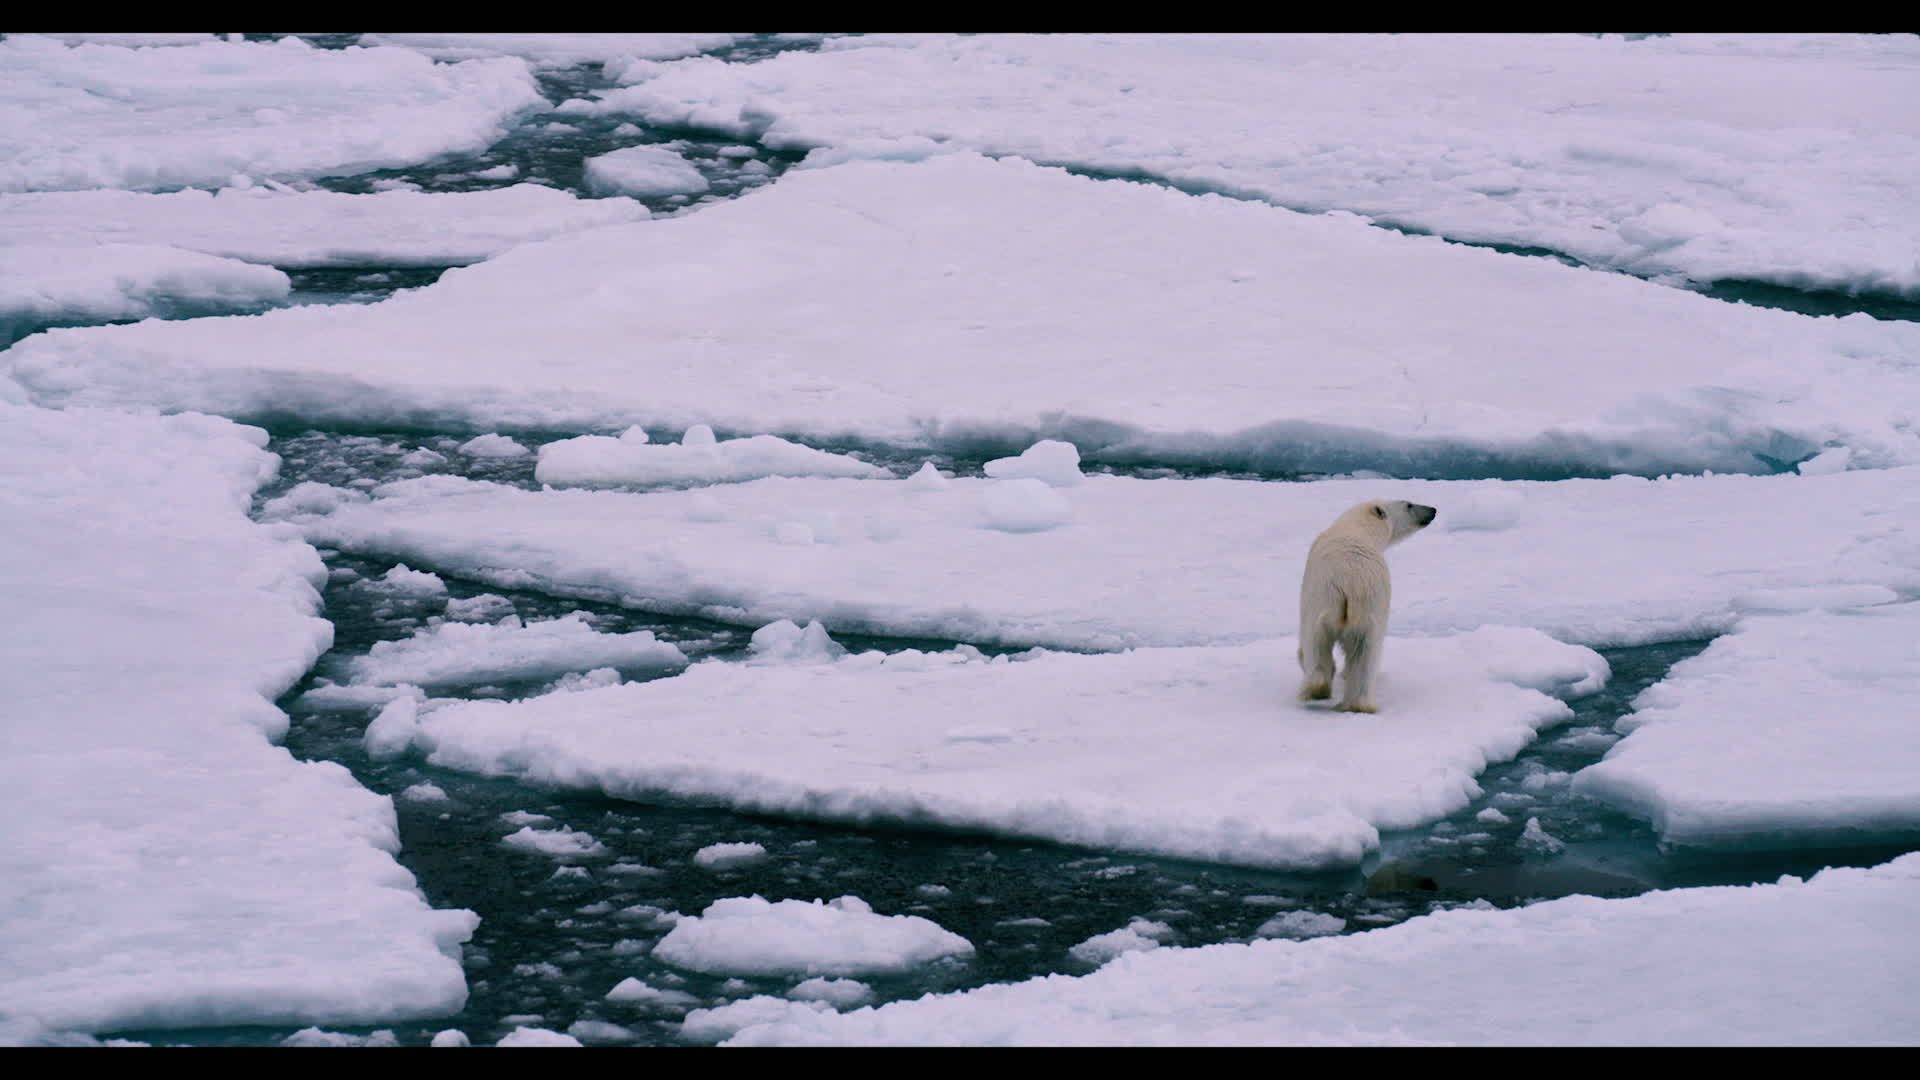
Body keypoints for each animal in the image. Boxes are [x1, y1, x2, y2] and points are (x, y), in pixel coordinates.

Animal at [1297, 499, 1436, 711]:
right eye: (1409, 504)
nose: (1433, 510)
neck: (1357, 528)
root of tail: (1350, 582)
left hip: (1328, 601)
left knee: (1319, 644)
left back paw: (1322, 692)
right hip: (1367, 607)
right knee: (1364, 653)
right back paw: (1351, 702)